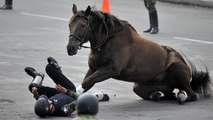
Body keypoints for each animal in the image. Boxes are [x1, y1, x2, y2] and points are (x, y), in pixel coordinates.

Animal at [67, 4, 211, 104]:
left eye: (83, 25)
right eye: (69, 25)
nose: (70, 48)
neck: (108, 40)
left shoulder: (110, 70)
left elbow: (87, 82)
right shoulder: (93, 69)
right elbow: (87, 82)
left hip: (176, 68)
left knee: (191, 95)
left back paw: (181, 96)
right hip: (140, 86)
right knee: (170, 94)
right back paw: (158, 95)